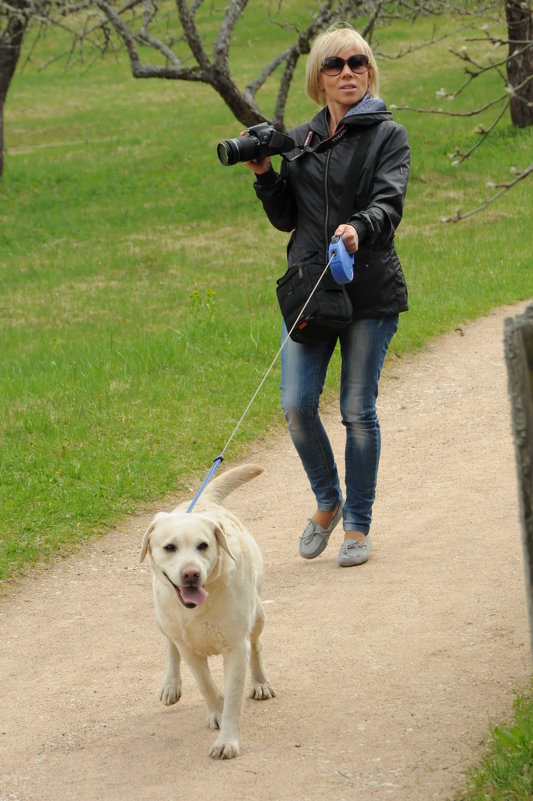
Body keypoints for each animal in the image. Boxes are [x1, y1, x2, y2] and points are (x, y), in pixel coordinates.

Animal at [140, 462, 274, 756]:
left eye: (203, 545)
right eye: (170, 547)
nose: (191, 574)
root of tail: (205, 501)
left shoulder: (236, 648)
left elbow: (233, 697)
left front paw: (227, 740)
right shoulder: (189, 650)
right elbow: (206, 685)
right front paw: (216, 710)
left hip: (258, 615)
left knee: (257, 647)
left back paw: (260, 682)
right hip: (160, 618)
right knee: (170, 646)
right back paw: (171, 684)